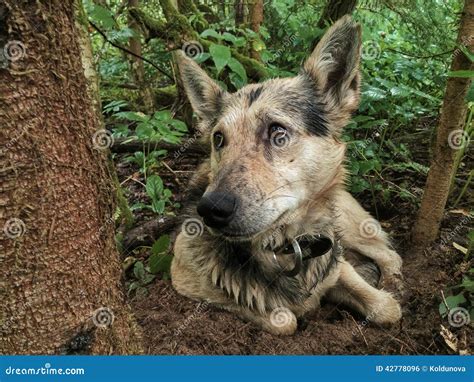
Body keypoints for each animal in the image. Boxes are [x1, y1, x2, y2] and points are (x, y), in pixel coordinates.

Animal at [168, 16, 402, 336]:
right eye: (218, 139)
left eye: (277, 131)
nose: (211, 210)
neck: (286, 246)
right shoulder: (182, 274)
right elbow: (284, 319)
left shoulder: (334, 260)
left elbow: (387, 308)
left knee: (390, 255)